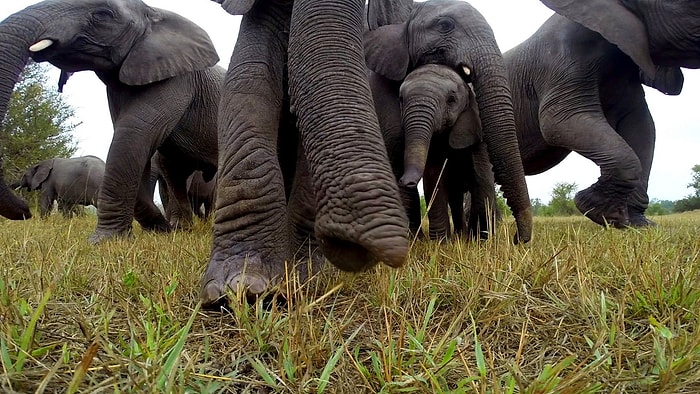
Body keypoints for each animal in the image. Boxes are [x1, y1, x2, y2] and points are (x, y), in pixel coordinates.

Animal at [0, 0, 221, 242]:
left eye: (102, 15)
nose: (25, 211)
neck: (153, 13)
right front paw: (159, 230)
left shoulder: (176, 80)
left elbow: (134, 134)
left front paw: (104, 242)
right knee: (174, 172)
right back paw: (181, 228)